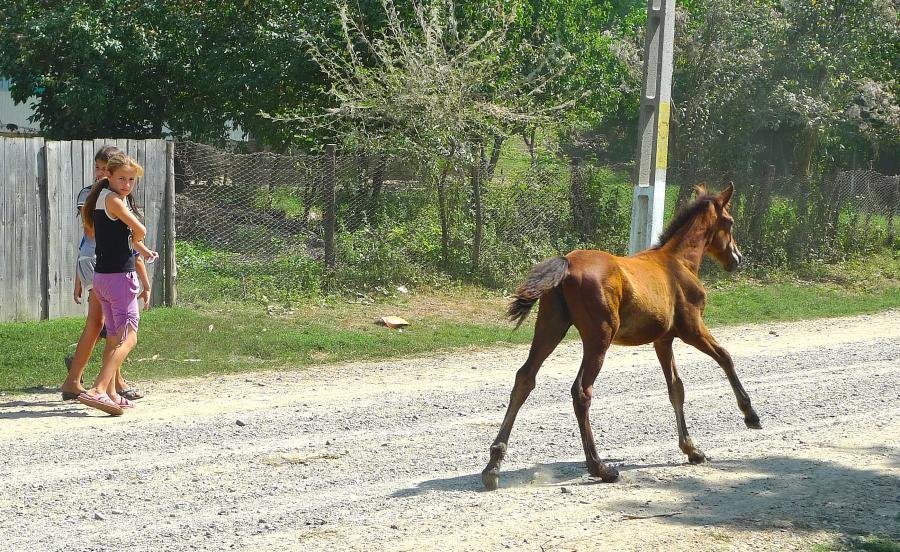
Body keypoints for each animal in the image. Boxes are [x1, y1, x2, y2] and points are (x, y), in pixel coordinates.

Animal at [481, 183, 761, 491]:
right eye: (729, 221)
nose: (737, 258)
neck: (678, 262)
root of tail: (567, 262)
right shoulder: (692, 329)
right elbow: (725, 357)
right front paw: (750, 415)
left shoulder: (663, 341)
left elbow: (676, 388)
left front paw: (692, 449)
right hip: (598, 337)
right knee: (581, 391)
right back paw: (601, 467)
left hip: (550, 328)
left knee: (525, 378)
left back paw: (493, 466)